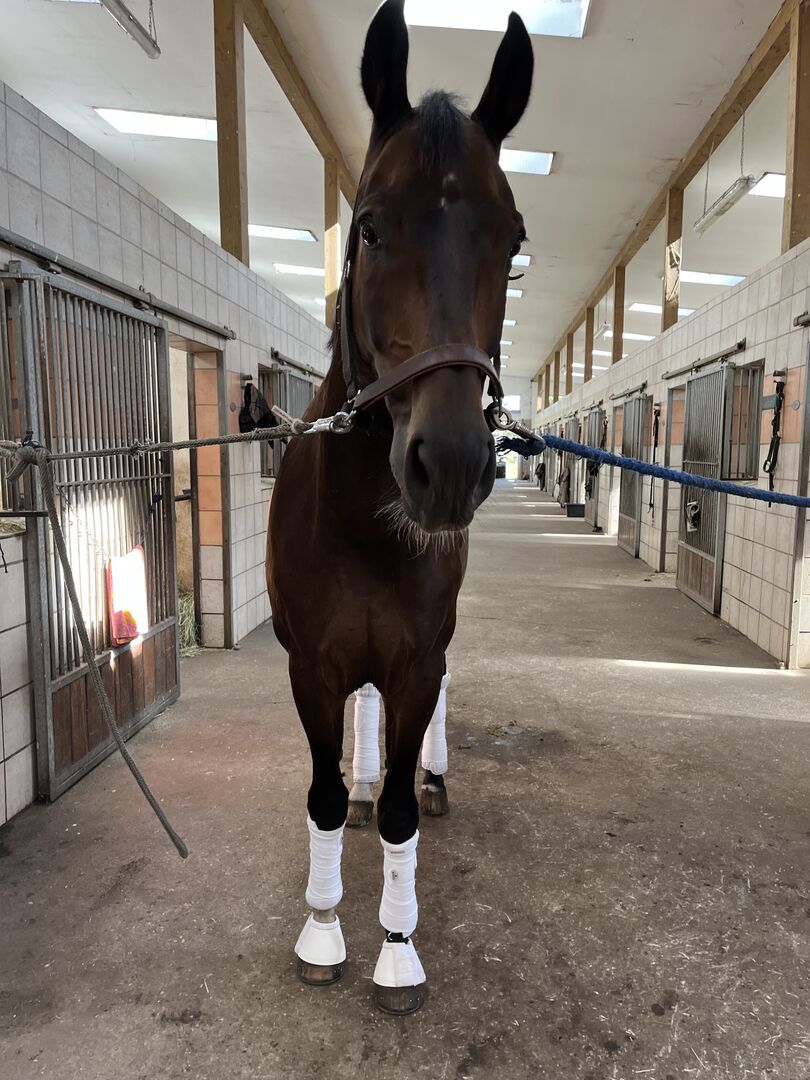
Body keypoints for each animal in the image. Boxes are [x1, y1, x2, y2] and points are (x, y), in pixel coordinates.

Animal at [265, 0, 533, 1014]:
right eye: (372, 227)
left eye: (513, 242)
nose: (449, 466)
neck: (361, 527)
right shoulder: (311, 667)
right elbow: (326, 796)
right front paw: (322, 932)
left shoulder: (419, 658)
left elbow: (398, 816)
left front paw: (397, 946)